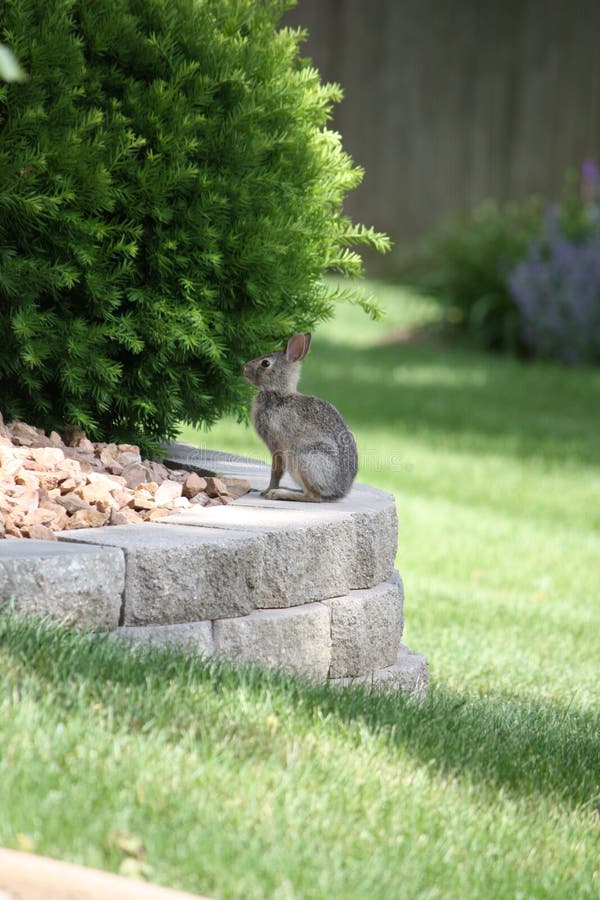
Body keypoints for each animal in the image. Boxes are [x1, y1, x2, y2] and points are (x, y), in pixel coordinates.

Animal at [243, 332, 358, 502]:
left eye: (265, 363)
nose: (243, 368)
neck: (279, 394)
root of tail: (339, 491)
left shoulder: (276, 444)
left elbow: (276, 471)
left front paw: (267, 491)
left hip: (304, 457)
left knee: (313, 496)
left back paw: (279, 493)